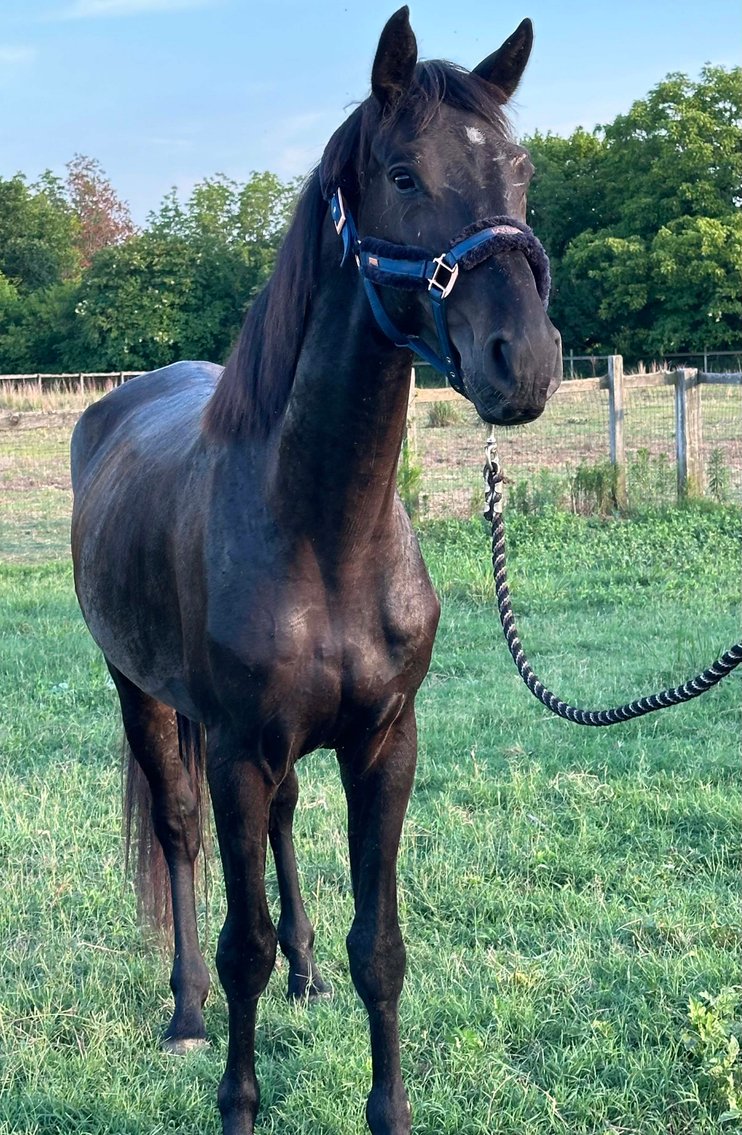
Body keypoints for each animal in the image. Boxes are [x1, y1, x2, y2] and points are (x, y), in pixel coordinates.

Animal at [70, 8, 561, 1133]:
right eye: (403, 172)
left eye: (517, 172)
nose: (523, 362)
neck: (324, 534)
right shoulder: (236, 749)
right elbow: (237, 943)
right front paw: (237, 1101)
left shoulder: (385, 742)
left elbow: (380, 947)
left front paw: (389, 1104)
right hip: (141, 695)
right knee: (179, 836)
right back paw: (185, 1013)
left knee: (288, 828)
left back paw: (305, 972)